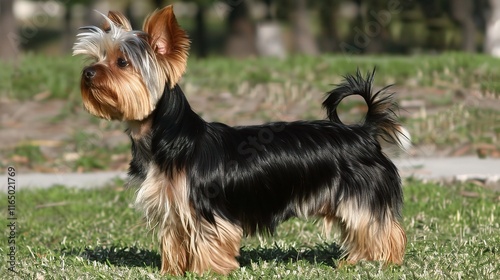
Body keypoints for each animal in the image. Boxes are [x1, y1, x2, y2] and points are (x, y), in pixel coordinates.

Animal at [74, 4, 410, 276]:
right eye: (97, 57)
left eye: (122, 62)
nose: (87, 73)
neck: (167, 136)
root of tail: (363, 131)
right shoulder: (172, 207)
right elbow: (174, 242)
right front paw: (172, 271)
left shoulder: (206, 210)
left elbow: (209, 243)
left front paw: (207, 272)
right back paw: (356, 262)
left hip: (362, 196)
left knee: (381, 229)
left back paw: (384, 262)